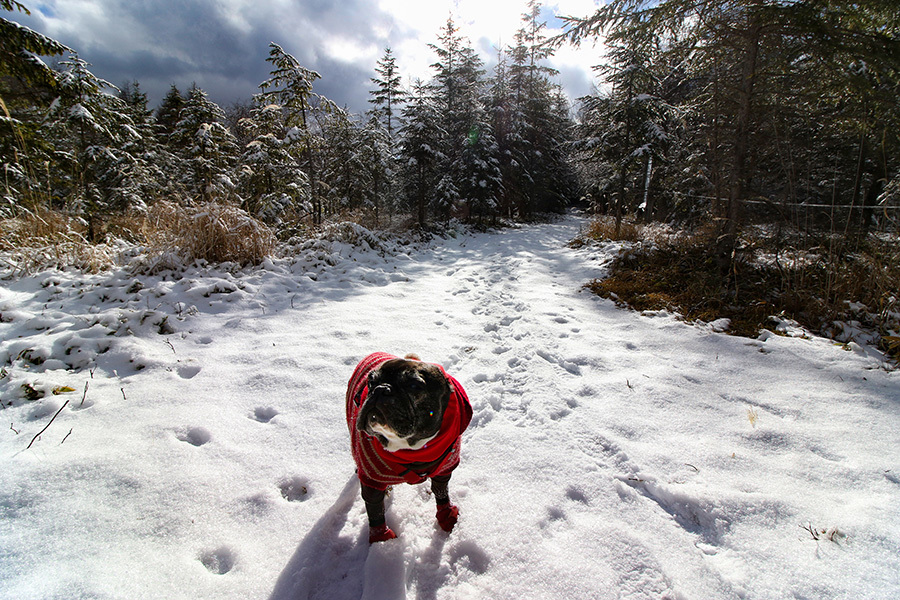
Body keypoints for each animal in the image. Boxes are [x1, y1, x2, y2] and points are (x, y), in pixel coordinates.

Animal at [344, 352, 472, 544]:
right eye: (371, 381)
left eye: (414, 385)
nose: (380, 389)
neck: (412, 449)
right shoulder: (371, 481)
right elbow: (375, 510)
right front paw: (382, 539)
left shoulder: (444, 470)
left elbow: (441, 491)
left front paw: (446, 514)